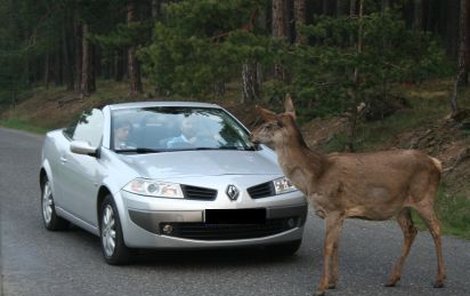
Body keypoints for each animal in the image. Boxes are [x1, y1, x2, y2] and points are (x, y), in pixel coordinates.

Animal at [252, 96, 446, 294]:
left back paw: (439, 279)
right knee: (411, 231)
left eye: (267, 125)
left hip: (423, 197)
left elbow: (327, 246)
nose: (250, 135)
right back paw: (393, 278)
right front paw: (333, 281)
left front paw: (321, 286)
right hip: (401, 206)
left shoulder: (333, 208)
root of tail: (436, 163)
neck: (313, 176)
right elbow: (337, 245)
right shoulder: (341, 211)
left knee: (436, 229)